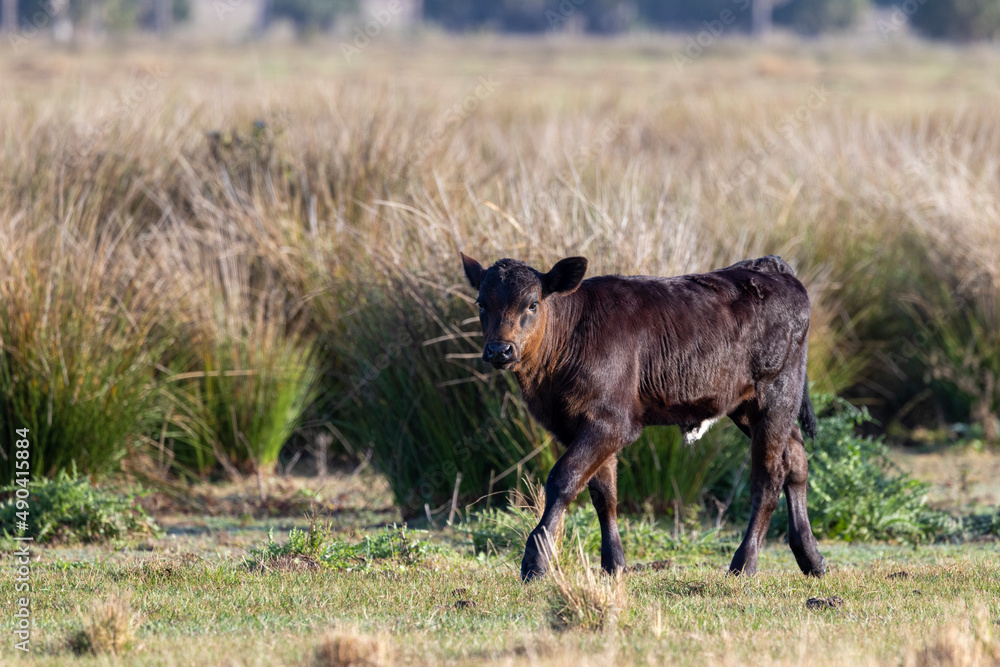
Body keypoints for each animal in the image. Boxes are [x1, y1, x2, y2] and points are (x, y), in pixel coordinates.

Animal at [460, 252, 825, 582]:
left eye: (532, 304)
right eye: (481, 304)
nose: (499, 350)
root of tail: (768, 266)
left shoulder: (611, 421)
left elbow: (563, 478)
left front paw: (535, 562)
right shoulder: (580, 424)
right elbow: (604, 494)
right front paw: (615, 565)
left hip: (776, 392)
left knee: (768, 477)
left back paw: (744, 564)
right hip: (747, 406)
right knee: (795, 458)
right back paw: (811, 558)